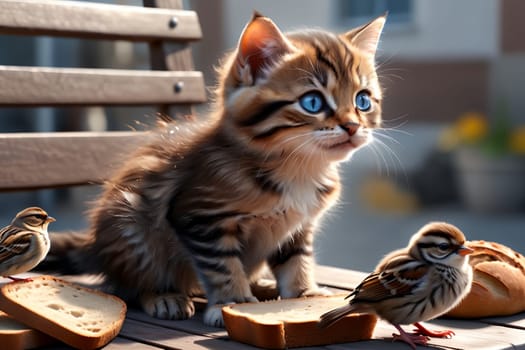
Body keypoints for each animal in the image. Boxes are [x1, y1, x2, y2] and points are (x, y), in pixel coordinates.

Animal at [49, 12, 384, 326]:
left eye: (363, 101)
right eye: (313, 102)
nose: (352, 126)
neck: (299, 170)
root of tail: (95, 246)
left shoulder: (297, 228)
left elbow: (296, 261)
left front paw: (304, 294)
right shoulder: (200, 217)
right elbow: (223, 265)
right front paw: (233, 301)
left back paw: (262, 286)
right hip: (129, 224)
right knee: (128, 285)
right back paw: (163, 295)